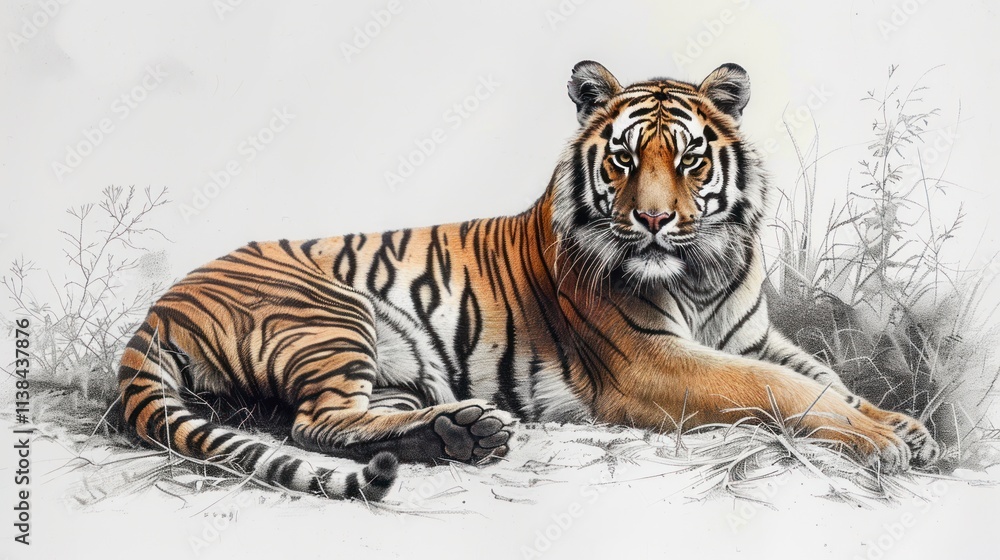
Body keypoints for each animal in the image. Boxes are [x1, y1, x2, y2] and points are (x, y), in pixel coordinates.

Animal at [118, 61, 940, 501]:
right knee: (312, 423)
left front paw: (904, 427)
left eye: (688, 160)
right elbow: (778, 388)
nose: (651, 220)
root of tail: (158, 310)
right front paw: (881, 442)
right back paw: (464, 432)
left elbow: (823, 376)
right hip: (332, 309)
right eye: (623, 159)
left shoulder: (752, 335)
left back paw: (460, 431)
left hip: (388, 367)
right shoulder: (654, 362)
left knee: (346, 421)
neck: (704, 270)